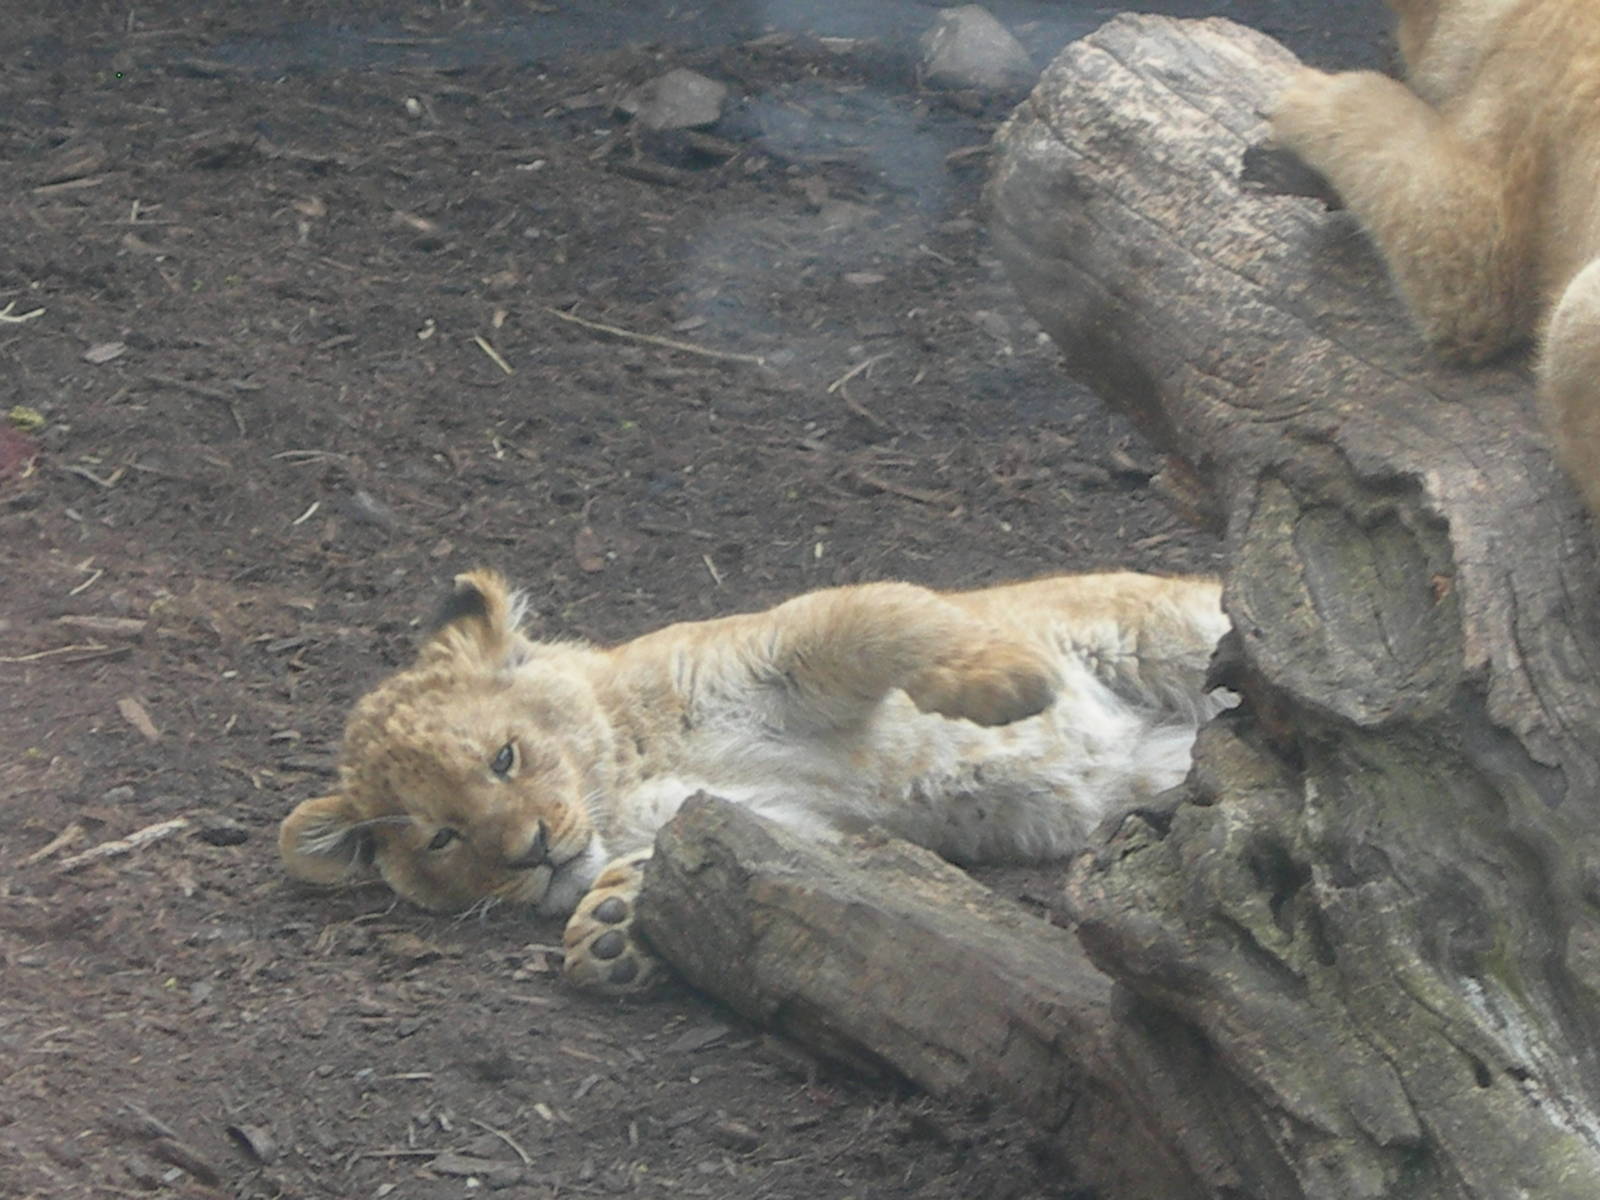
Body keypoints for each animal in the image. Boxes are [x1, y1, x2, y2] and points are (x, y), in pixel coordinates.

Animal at [279, 568, 1229, 993]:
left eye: (503, 757)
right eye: (443, 838)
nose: (531, 852)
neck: (626, 772)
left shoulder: (785, 643)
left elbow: (893, 614)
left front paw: (1006, 681)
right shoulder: (785, 818)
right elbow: (684, 849)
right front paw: (611, 927)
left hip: (1176, 628)